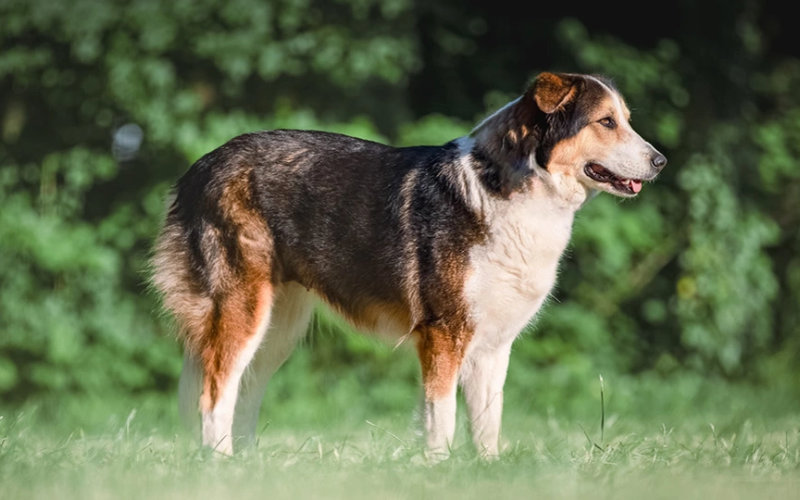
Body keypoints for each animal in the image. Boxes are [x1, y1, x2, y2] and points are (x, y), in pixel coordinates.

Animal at [152, 72, 668, 458]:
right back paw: (221, 465)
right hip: (243, 309)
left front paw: (488, 473)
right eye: (605, 122)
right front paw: (437, 472)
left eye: (625, 120)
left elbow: (487, 423)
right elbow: (442, 419)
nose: (661, 161)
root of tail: (199, 168)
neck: (515, 189)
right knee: (214, 391)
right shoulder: (443, 333)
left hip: (280, 325)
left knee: (244, 390)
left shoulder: (493, 345)